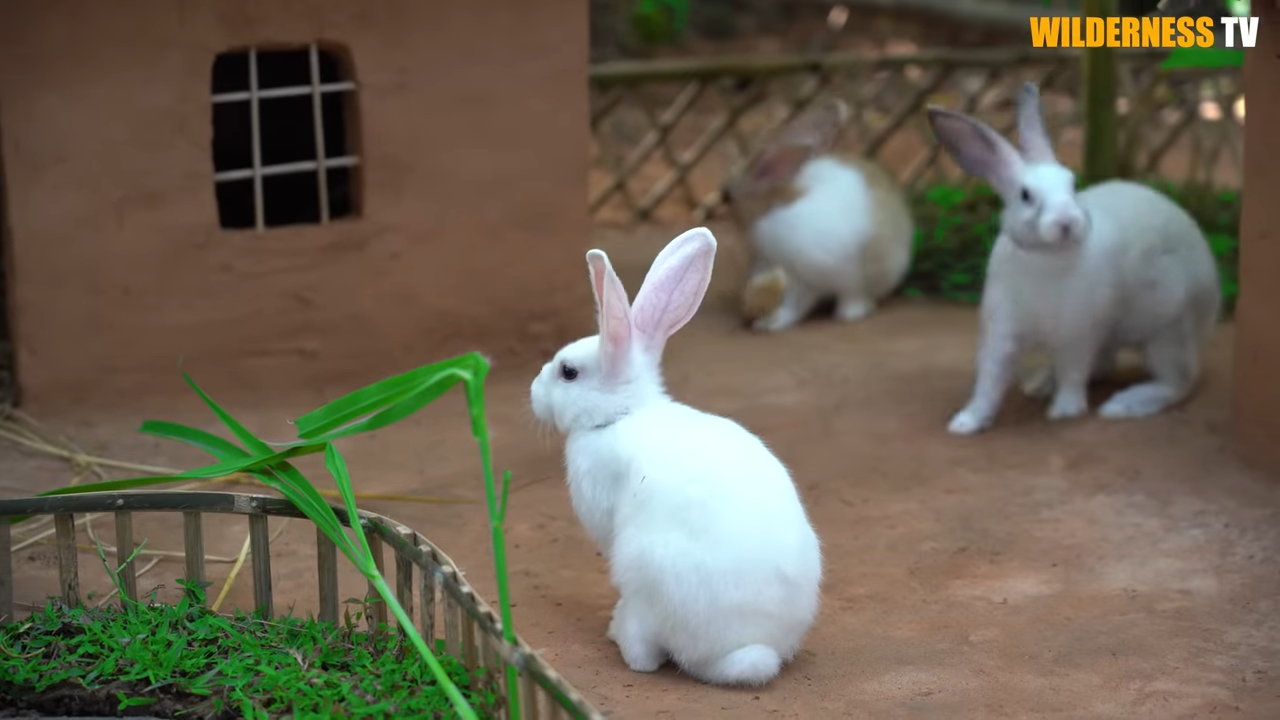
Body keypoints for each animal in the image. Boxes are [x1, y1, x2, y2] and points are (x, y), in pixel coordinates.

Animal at [528, 227, 823, 687]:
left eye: (568, 372)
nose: (533, 392)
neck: (622, 414)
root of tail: (748, 650)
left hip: (643, 576)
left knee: (647, 652)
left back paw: (620, 636)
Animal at [722, 96, 916, 332]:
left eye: (726, 197)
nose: (749, 317)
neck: (772, 207)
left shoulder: (808, 277)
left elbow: (795, 304)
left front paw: (772, 323)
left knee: (856, 295)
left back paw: (848, 314)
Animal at [926, 82, 1221, 435]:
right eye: (1026, 195)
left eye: (1072, 183)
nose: (1067, 222)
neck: (1044, 258)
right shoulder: (1002, 330)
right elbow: (989, 378)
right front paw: (966, 422)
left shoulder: (1079, 333)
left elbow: (1073, 371)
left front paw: (1065, 411)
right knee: (1110, 365)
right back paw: (1040, 384)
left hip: (1168, 332)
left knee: (1179, 381)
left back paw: (1124, 404)